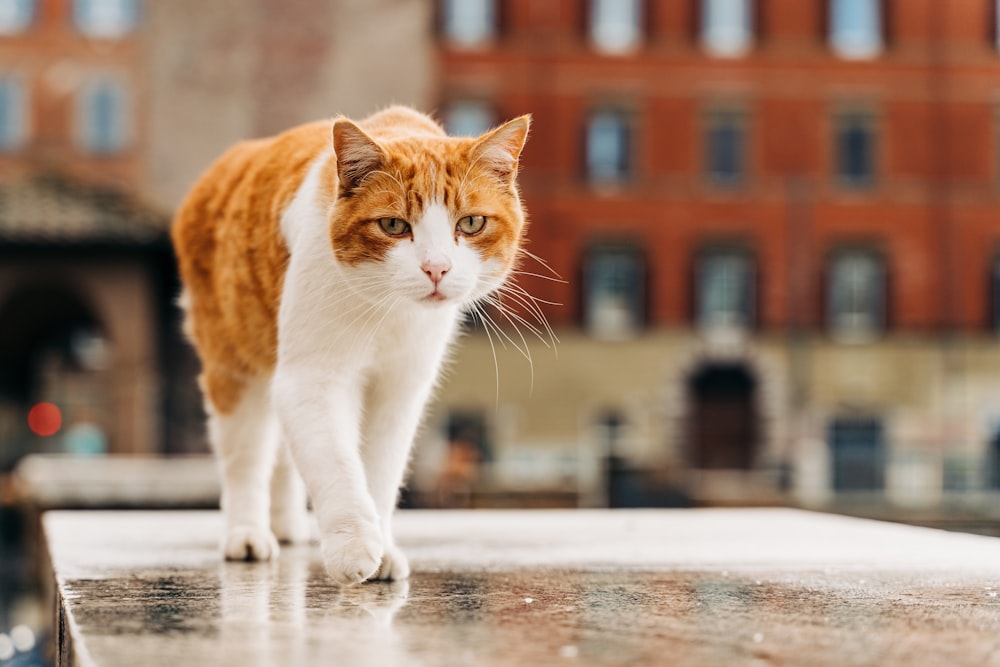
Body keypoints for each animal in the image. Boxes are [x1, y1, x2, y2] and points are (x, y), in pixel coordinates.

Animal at [172, 105, 532, 584]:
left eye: (471, 223)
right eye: (394, 225)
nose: (436, 268)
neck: (392, 314)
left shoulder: (400, 390)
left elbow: (379, 473)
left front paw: (382, 550)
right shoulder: (312, 380)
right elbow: (337, 465)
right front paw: (354, 546)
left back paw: (287, 525)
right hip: (235, 366)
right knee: (245, 459)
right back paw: (247, 535)